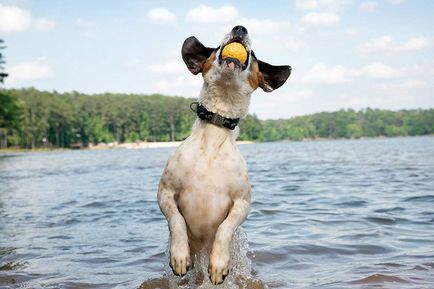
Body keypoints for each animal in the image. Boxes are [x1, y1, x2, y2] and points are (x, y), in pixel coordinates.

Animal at [157, 25, 292, 284]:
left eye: (255, 55)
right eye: (218, 47)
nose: (240, 28)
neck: (215, 131)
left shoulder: (242, 203)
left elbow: (225, 228)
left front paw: (219, 263)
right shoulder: (165, 193)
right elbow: (176, 221)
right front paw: (179, 255)